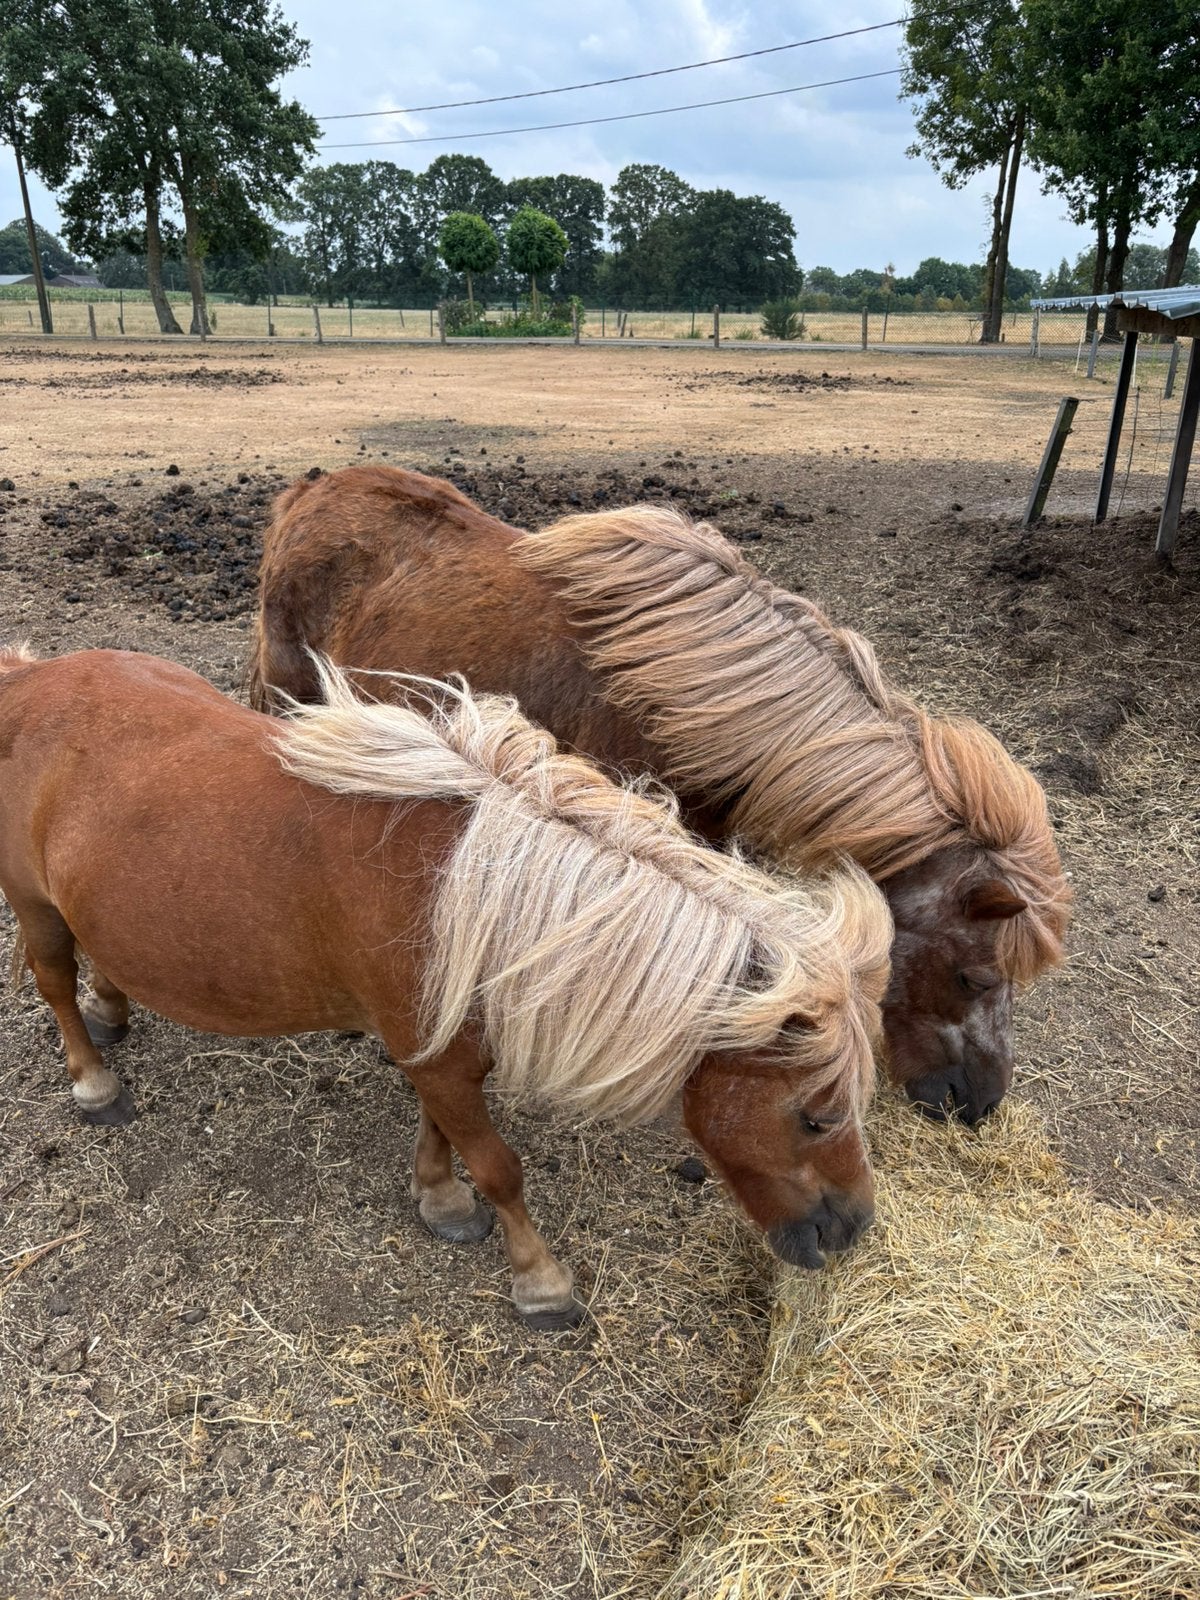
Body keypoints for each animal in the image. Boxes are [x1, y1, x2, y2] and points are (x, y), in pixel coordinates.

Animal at [0, 646, 892, 1329]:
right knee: (53, 980)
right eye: (816, 1117)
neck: (477, 897)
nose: (853, 1228)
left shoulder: (441, 1052)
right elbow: (499, 1165)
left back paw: (113, 1005)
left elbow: (443, 1133)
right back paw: (94, 1080)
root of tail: (26, 679)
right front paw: (540, 1281)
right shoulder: (438, 1057)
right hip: (33, 903)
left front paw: (440, 1199)